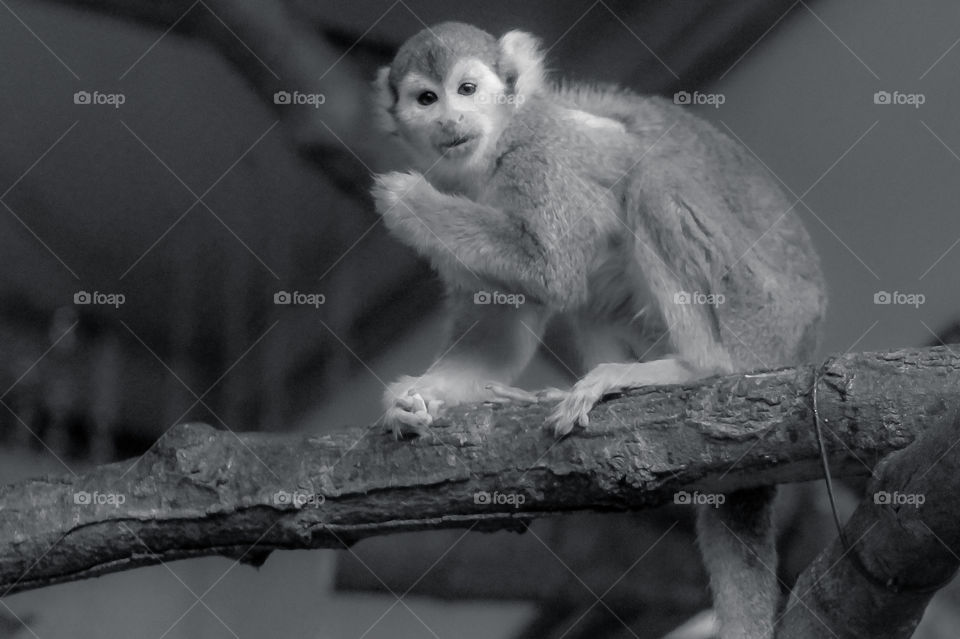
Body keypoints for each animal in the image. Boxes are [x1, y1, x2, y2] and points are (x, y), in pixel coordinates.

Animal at [372, 22, 820, 636]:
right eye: (426, 99)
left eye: (466, 89)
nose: (450, 121)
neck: (491, 154)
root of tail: (804, 338)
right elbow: (498, 337)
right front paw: (412, 401)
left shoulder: (538, 156)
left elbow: (556, 271)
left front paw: (406, 200)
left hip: (759, 318)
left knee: (649, 176)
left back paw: (694, 367)